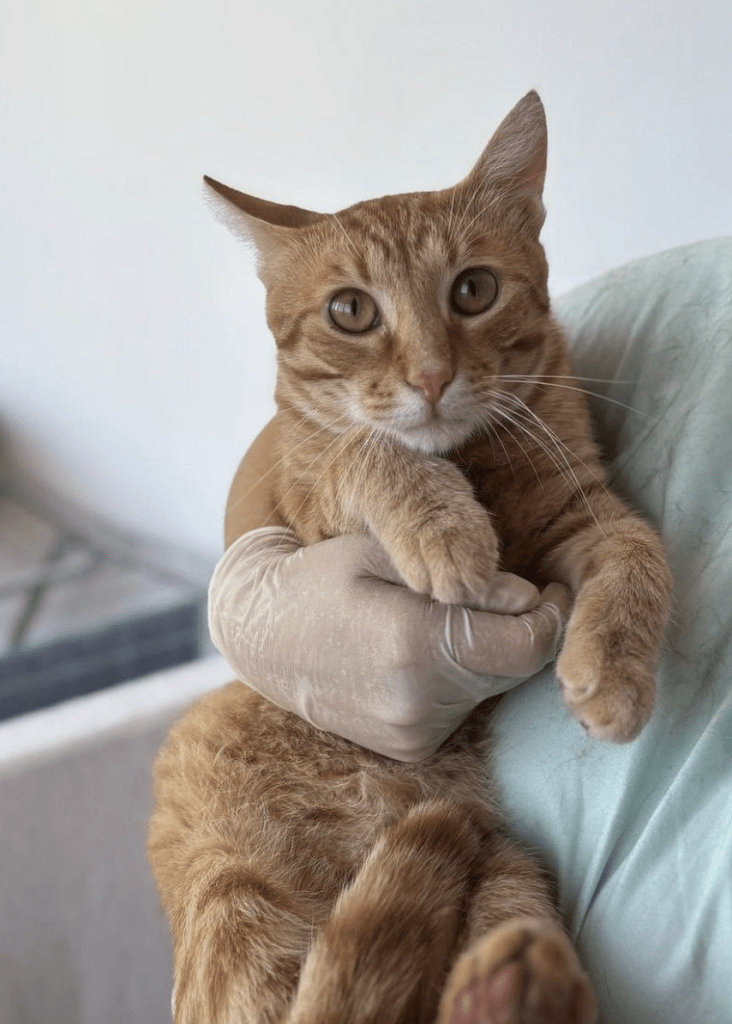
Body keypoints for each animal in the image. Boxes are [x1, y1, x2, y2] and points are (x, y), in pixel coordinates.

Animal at [150, 92, 675, 1019]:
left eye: (474, 289)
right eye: (351, 311)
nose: (431, 376)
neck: (469, 461)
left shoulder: (578, 516)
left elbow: (639, 551)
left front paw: (613, 674)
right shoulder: (308, 499)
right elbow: (368, 451)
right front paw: (445, 530)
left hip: (502, 864)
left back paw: (512, 983)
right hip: (233, 885)